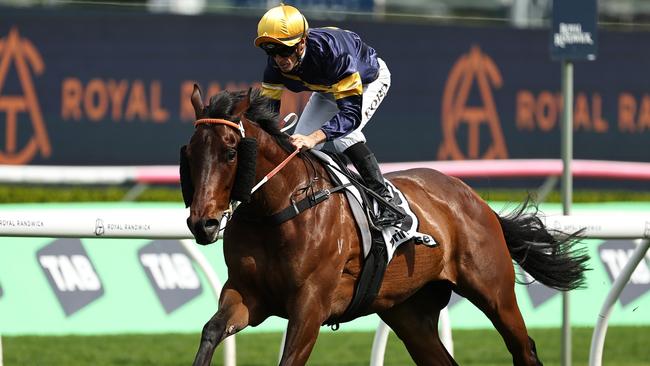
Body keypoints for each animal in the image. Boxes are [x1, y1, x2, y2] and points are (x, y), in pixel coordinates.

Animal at [180, 86, 584, 366]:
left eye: (231, 152)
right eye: (190, 152)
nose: (203, 223)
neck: (279, 209)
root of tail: (475, 200)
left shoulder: (310, 305)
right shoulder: (247, 293)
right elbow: (211, 331)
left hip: (494, 291)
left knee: (524, 349)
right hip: (409, 312)